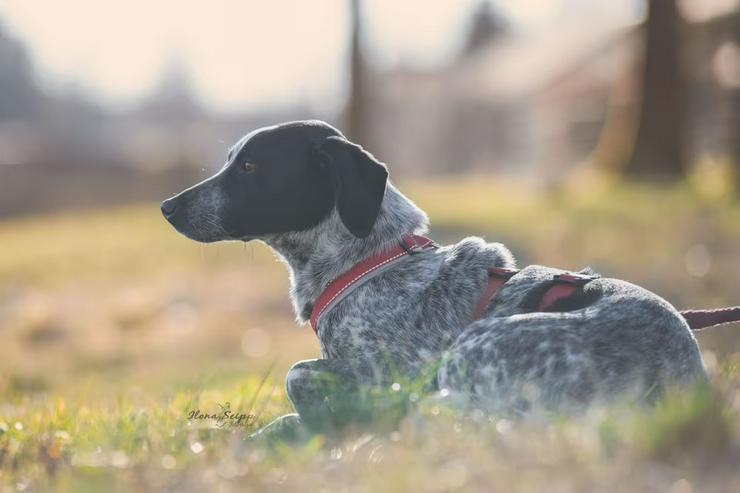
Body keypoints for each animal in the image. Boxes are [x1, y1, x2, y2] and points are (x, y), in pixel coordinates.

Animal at [163, 121, 712, 436]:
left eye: (249, 167)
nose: (167, 206)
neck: (368, 261)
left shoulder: (394, 372)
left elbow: (297, 374)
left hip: (475, 347)